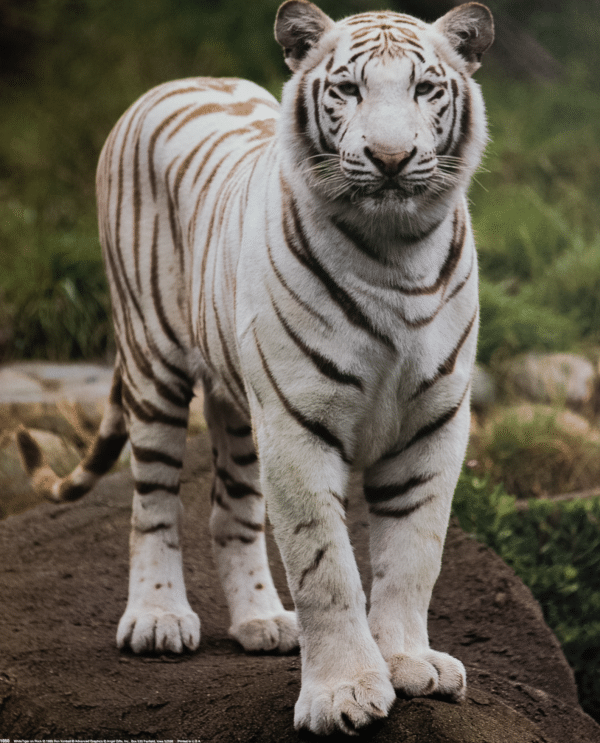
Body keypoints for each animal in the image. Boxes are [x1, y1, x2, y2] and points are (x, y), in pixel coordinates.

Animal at [17, 0, 494, 735]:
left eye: (424, 88)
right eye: (347, 88)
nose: (390, 159)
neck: (397, 250)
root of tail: (184, 79)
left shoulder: (433, 421)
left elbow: (416, 554)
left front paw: (410, 662)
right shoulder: (299, 418)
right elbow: (327, 568)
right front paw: (343, 694)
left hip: (240, 400)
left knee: (229, 511)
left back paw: (263, 621)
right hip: (154, 363)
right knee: (152, 503)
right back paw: (157, 618)